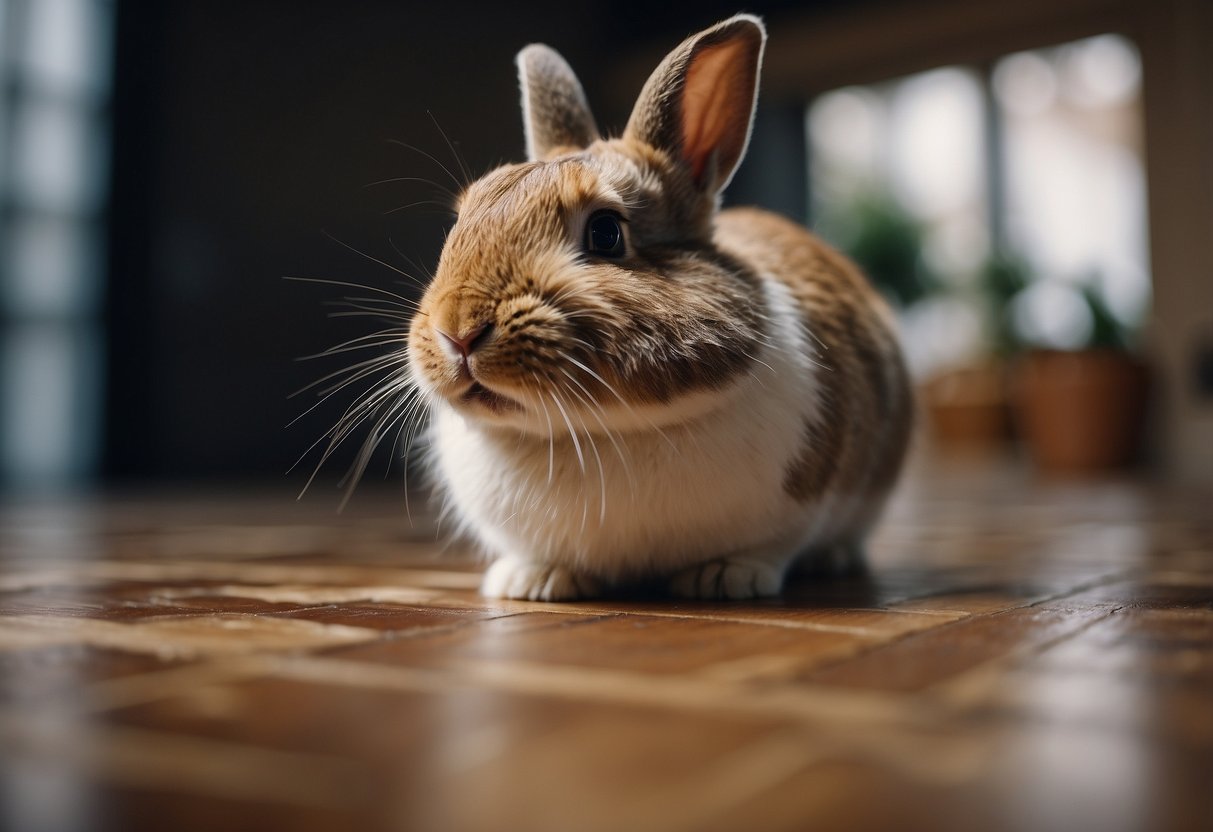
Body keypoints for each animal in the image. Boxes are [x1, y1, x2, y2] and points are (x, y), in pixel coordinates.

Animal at [405, 13, 912, 599]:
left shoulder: (796, 510)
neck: (593, 431)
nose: (458, 331)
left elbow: (770, 547)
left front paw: (725, 578)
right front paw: (534, 581)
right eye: (460, 220)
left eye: (606, 233)